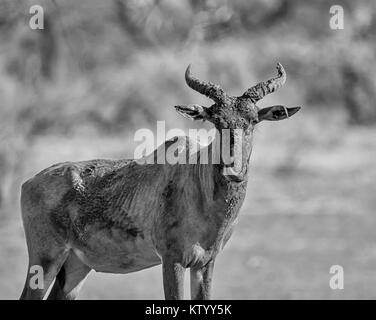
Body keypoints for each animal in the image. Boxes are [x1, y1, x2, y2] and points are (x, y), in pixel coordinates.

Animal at [20, 63, 302, 300]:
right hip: (45, 259)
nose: (232, 170)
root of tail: (30, 182)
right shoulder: (172, 259)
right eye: (215, 120)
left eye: (253, 120)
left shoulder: (205, 264)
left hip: (76, 266)